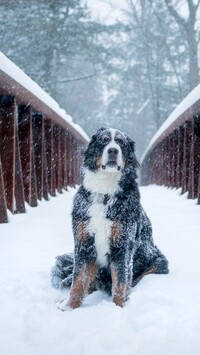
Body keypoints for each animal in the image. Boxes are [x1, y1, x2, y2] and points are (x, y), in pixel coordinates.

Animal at [52, 127, 169, 308]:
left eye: (120, 142)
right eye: (104, 140)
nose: (113, 150)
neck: (105, 193)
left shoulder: (123, 244)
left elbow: (120, 283)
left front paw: (118, 307)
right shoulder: (83, 242)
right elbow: (78, 281)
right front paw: (69, 307)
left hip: (159, 261)